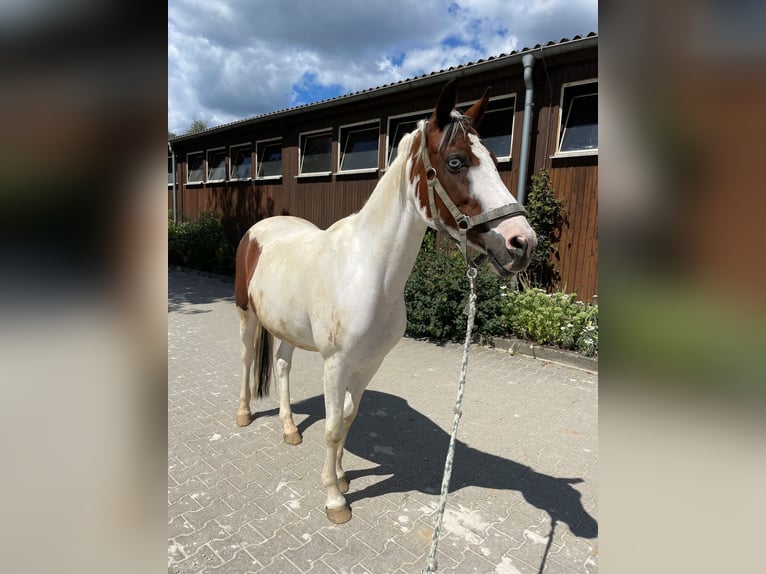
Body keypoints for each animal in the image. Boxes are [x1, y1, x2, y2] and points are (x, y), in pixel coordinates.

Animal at [234, 81, 540, 528]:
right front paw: (334, 500)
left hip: (285, 326)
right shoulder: (336, 363)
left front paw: (343, 477)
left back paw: (290, 429)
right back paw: (243, 413)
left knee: (283, 366)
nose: (522, 243)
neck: (368, 270)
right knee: (245, 361)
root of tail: (259, 229)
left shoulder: (370, 362)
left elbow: (348, 417)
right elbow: (332, 426)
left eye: (495, 160)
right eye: (455, 161)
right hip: (246, 316)